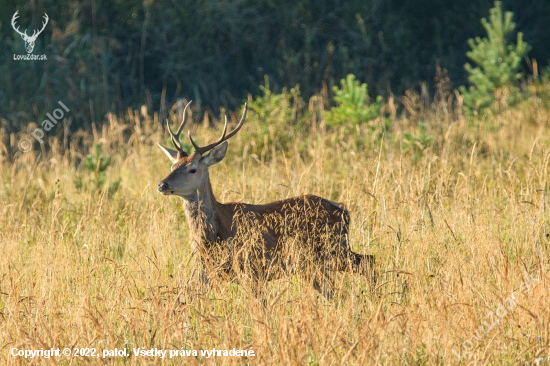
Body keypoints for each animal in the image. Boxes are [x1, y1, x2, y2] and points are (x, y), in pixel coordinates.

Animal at [157, 101, 378, 298]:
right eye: (172, 166)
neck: (213, 235)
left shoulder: (252, 266)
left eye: (192, 169)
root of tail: (342, 209)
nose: (162, 185)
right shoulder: (207, 270)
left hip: (333, 248)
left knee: (368, 262)